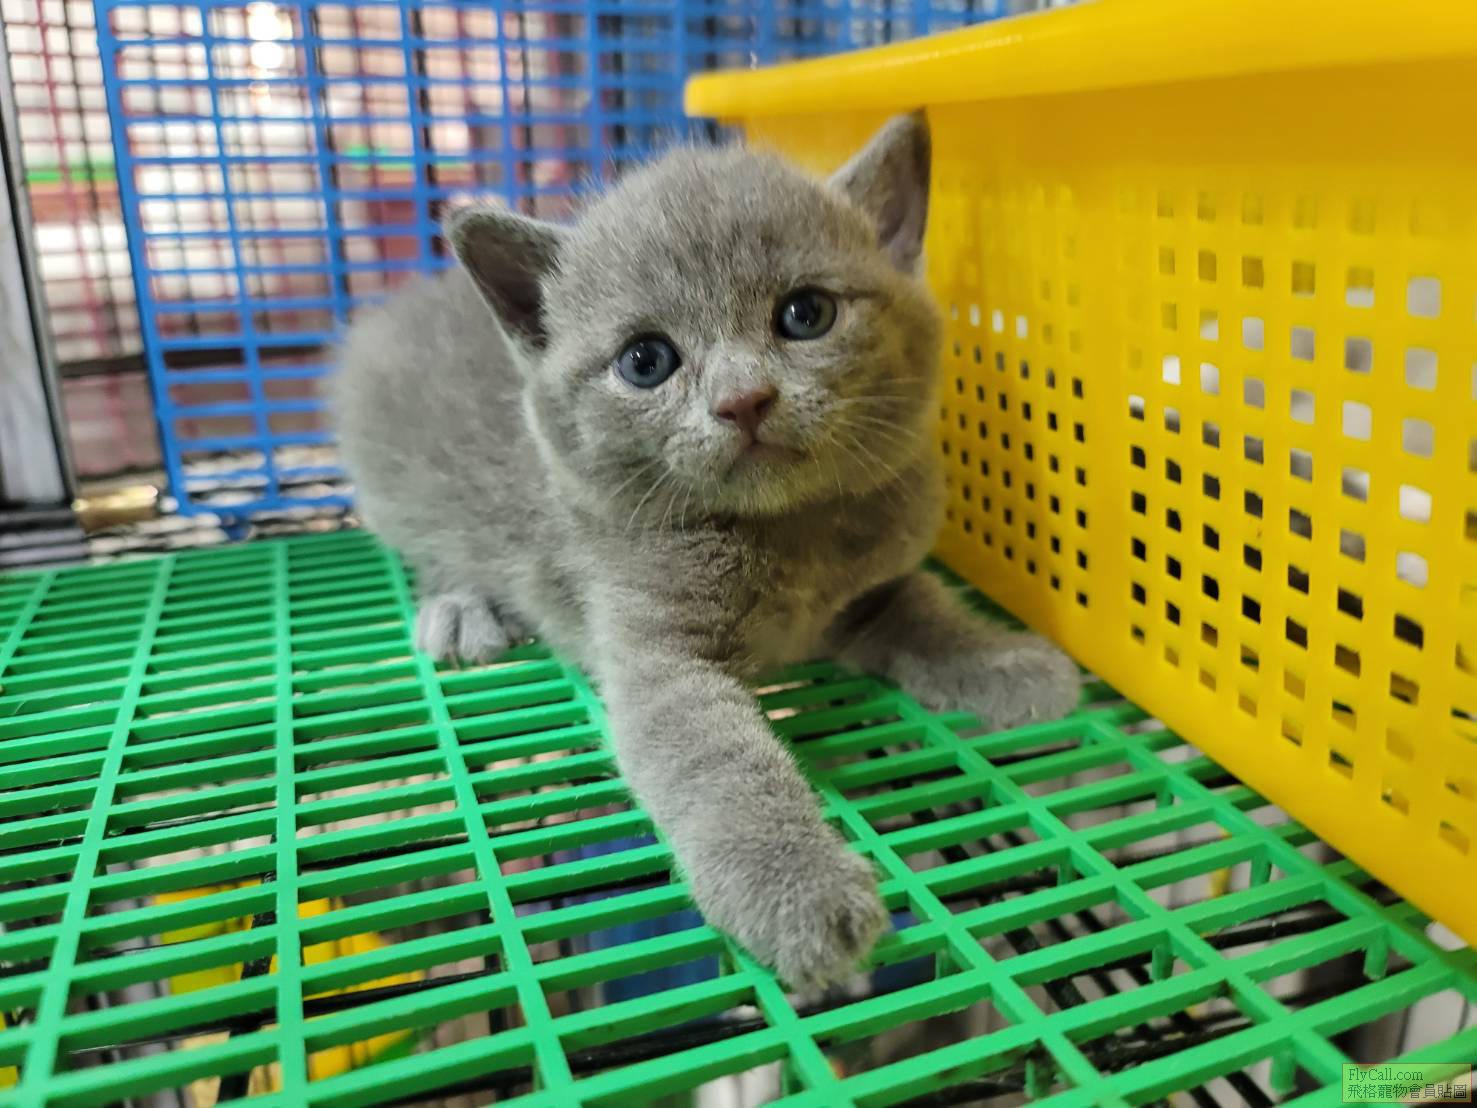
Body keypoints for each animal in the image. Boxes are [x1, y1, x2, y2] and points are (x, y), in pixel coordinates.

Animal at [329, 114, 1080, 987]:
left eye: (805, 314)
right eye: (645, 361)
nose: (742, 400)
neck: (787, 534)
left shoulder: (874, 583)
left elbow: (926, 609)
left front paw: (1005, 662)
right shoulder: (658, 661)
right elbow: (717, 765)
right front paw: (798, 890)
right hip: (398, 491)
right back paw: (459, 610)